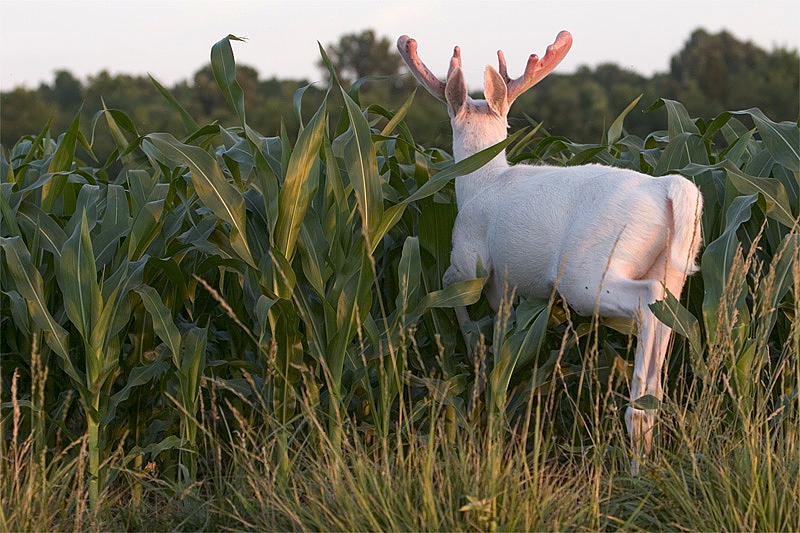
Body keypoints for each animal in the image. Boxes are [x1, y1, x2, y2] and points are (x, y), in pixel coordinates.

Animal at [398, 31, 700, 472]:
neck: (482, 180)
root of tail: (668, 188)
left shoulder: (473, 260)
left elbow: (451, 293)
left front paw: (476, 358)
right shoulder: (510, 286)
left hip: (588, 271)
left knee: (648, 301)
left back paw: (636, 432)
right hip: (672, 267)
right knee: (666, 317)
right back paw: (648, 431)